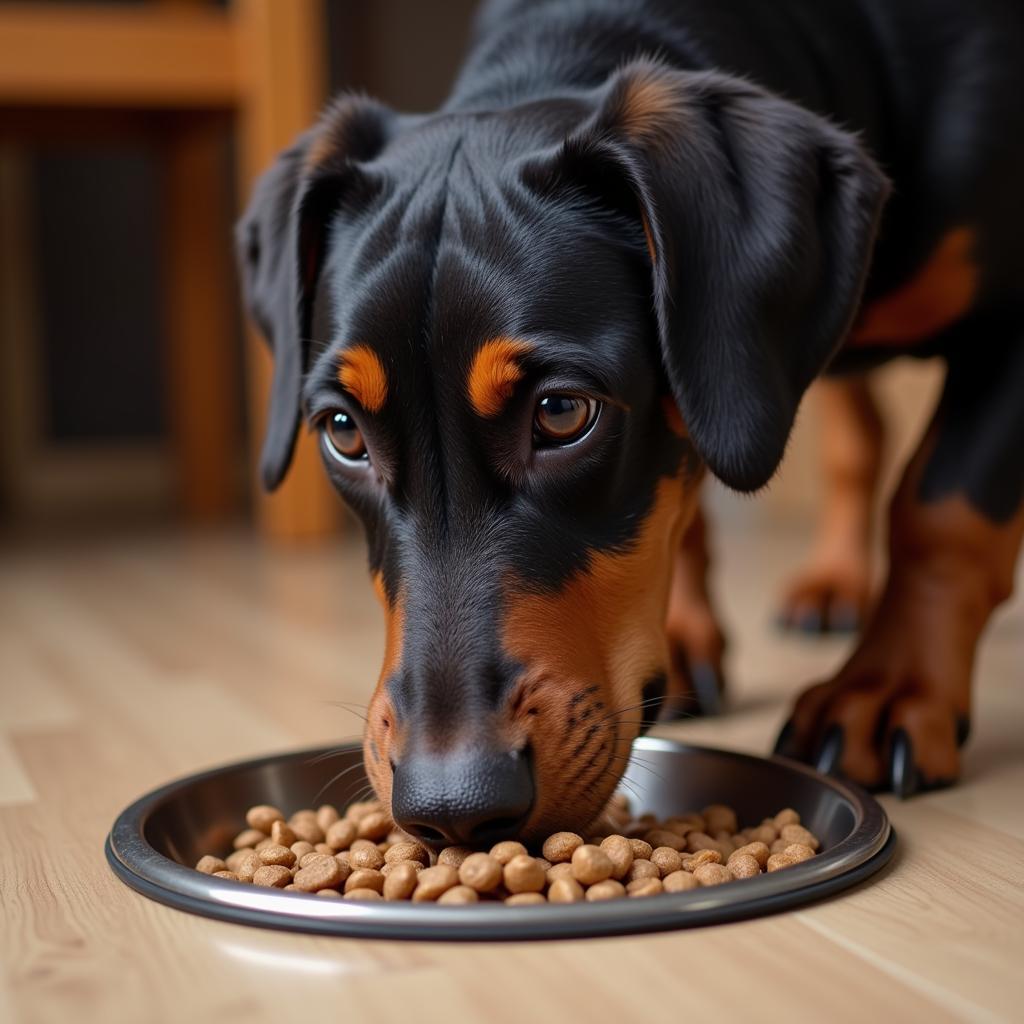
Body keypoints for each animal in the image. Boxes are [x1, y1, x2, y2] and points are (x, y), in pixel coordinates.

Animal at [237, 0, 1024, 847]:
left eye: (561, 412)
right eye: (343, 432)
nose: (453, 808)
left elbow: (942, 510)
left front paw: (889, 687)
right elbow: (688, 506)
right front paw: (683, 633)